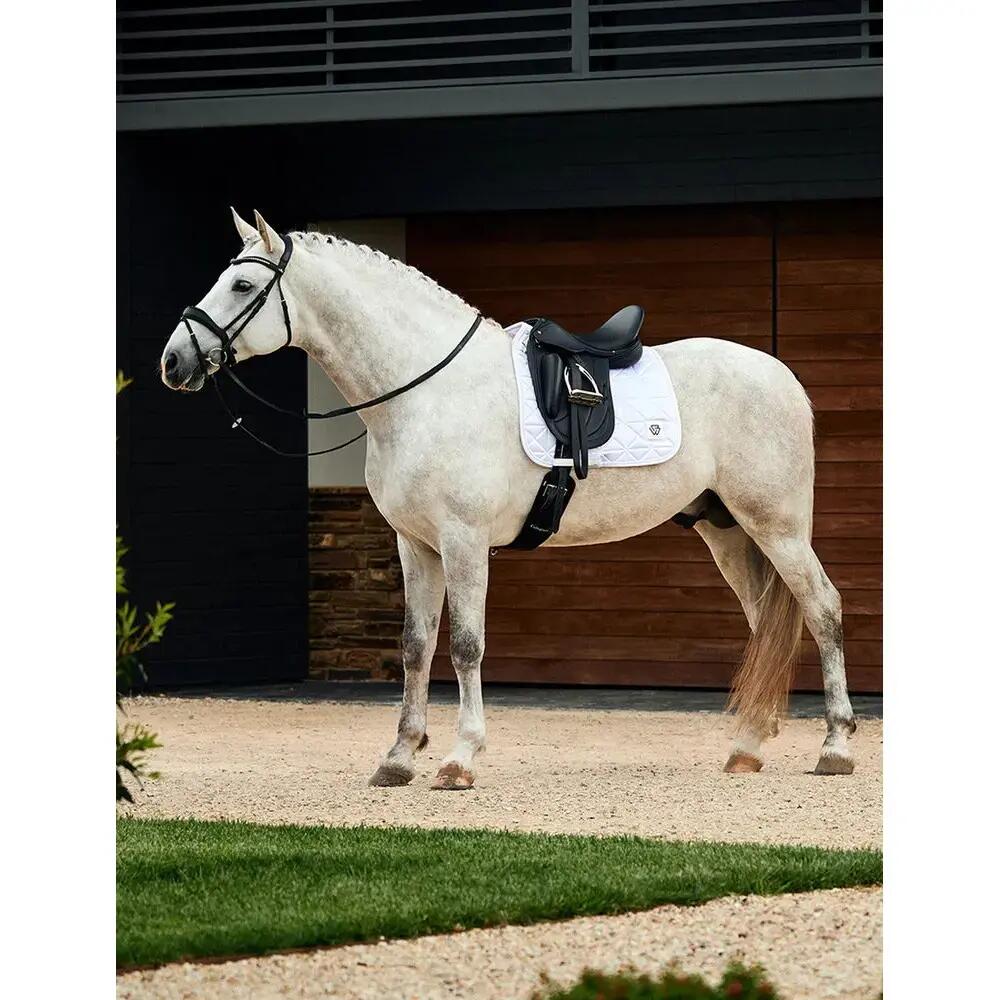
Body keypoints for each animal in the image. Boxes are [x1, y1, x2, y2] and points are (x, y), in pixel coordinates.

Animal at [159, 209, 857, 789]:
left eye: (241, 287)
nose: (173, 361)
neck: (425, 391)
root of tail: (781, 377)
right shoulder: (415, 545)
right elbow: (415, 646)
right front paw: (398, 758)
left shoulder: (464, 541)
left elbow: (466, 645)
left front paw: (460, 759)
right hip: (728, 530)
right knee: (766, 623)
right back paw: (747, 747)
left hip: (777, 527)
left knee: (822, 609)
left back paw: (836, 747)